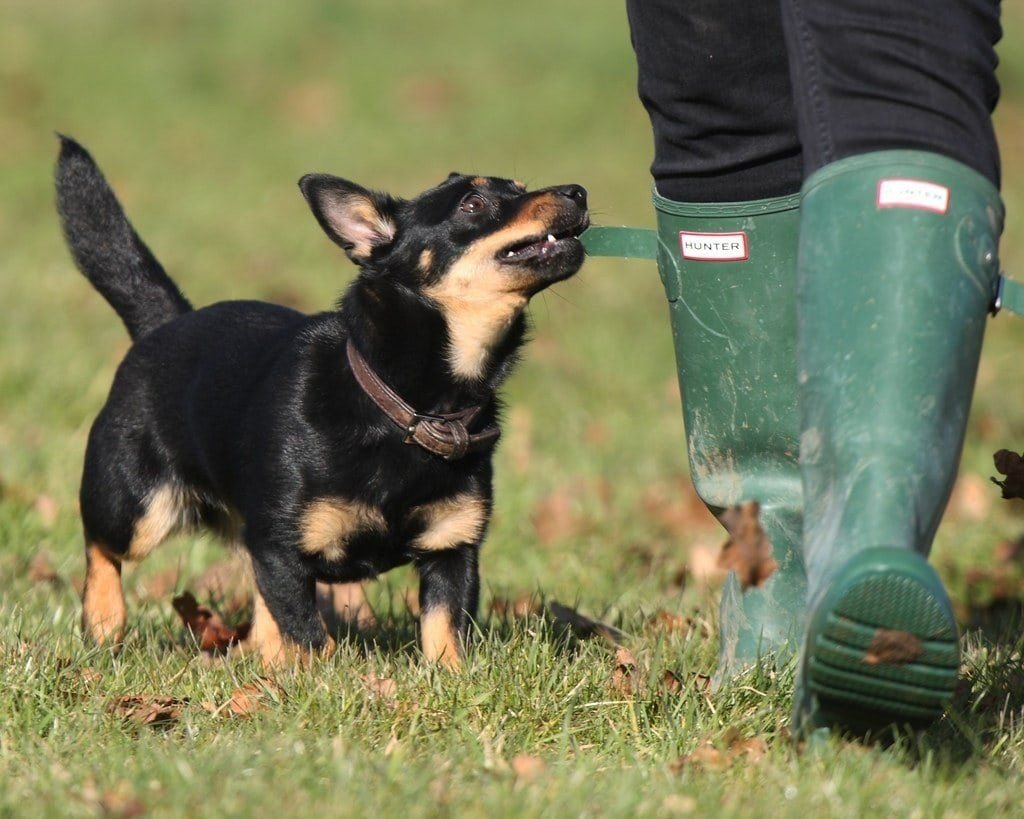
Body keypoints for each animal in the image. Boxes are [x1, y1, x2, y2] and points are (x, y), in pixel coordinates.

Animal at [56, 137, 589, 667]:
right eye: (473, 205)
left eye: (519, 187)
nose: (578, 191)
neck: (409, 407)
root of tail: (167, 322)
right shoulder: (280, 548)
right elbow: (311, 637)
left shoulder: (452, 549)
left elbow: (444, 633)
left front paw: (449, 680)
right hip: (138, 504)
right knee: (101, 546)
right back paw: (104, 620)